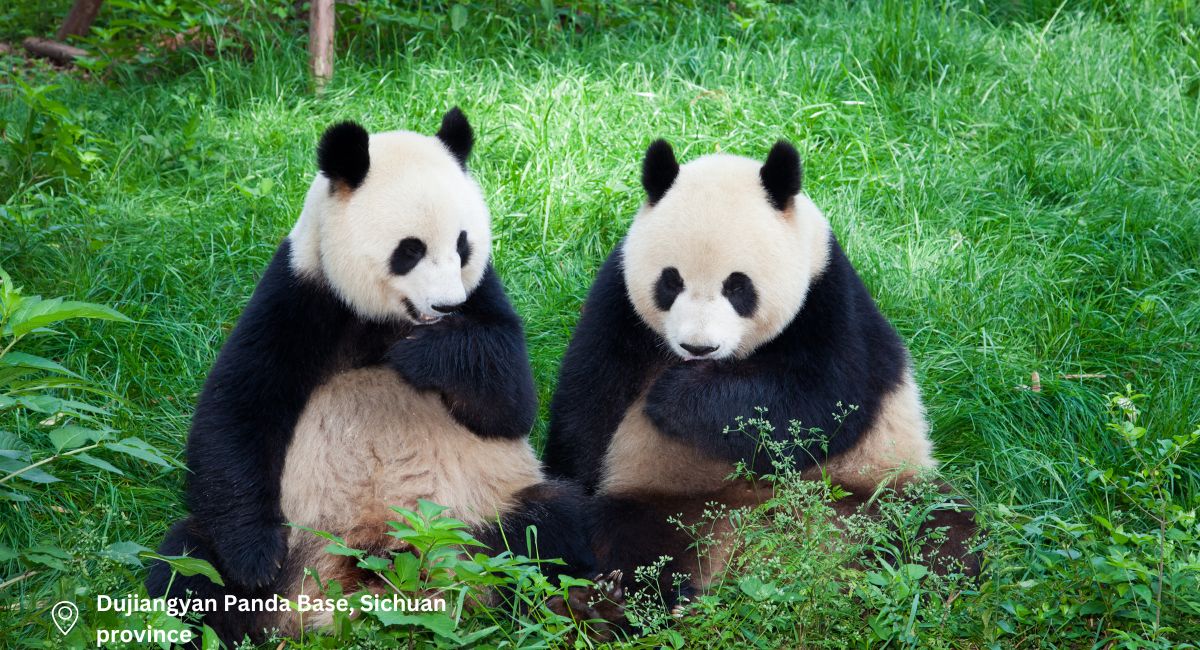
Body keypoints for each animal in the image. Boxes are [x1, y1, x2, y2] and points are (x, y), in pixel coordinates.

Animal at [146, 109, 596, 644]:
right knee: (188, 563)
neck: (388, 319)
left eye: (463, 245)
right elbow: (237, 411)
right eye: (410, 250)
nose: (447, 306)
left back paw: (571, 606)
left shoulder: (483, 293)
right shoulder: (301, 292)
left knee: (551, 527)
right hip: (299, 545)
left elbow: (511, 404)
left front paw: (425, 356)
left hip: (480, 519)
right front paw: (254, 559)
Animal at [544, 138, 976, 607]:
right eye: (670, 282)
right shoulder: (618, 302)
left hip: (872, 483)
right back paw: (610, 596)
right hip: (664, 495)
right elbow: (588, 403)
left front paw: (674, 397)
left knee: (938, 526)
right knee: (634, 539)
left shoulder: (828, 298)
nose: (698, 347)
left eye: (738, 286)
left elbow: (818, 404)